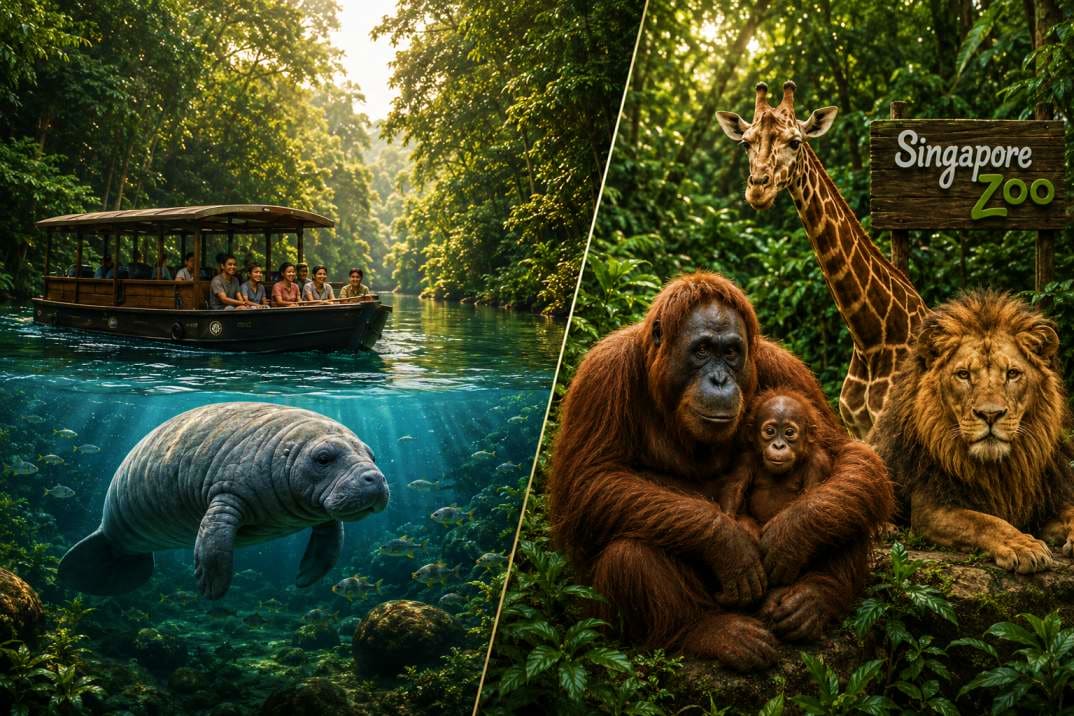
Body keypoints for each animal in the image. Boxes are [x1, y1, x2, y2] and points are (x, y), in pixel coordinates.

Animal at [868, 290, 1074, 574]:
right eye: (963, 374)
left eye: (1012, 373)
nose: (990, 414)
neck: (1000, 470)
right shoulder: (931, 509)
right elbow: (984, 522)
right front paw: (1023, 546)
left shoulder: (1049, 499)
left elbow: (1071, 512)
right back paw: (884, 529)